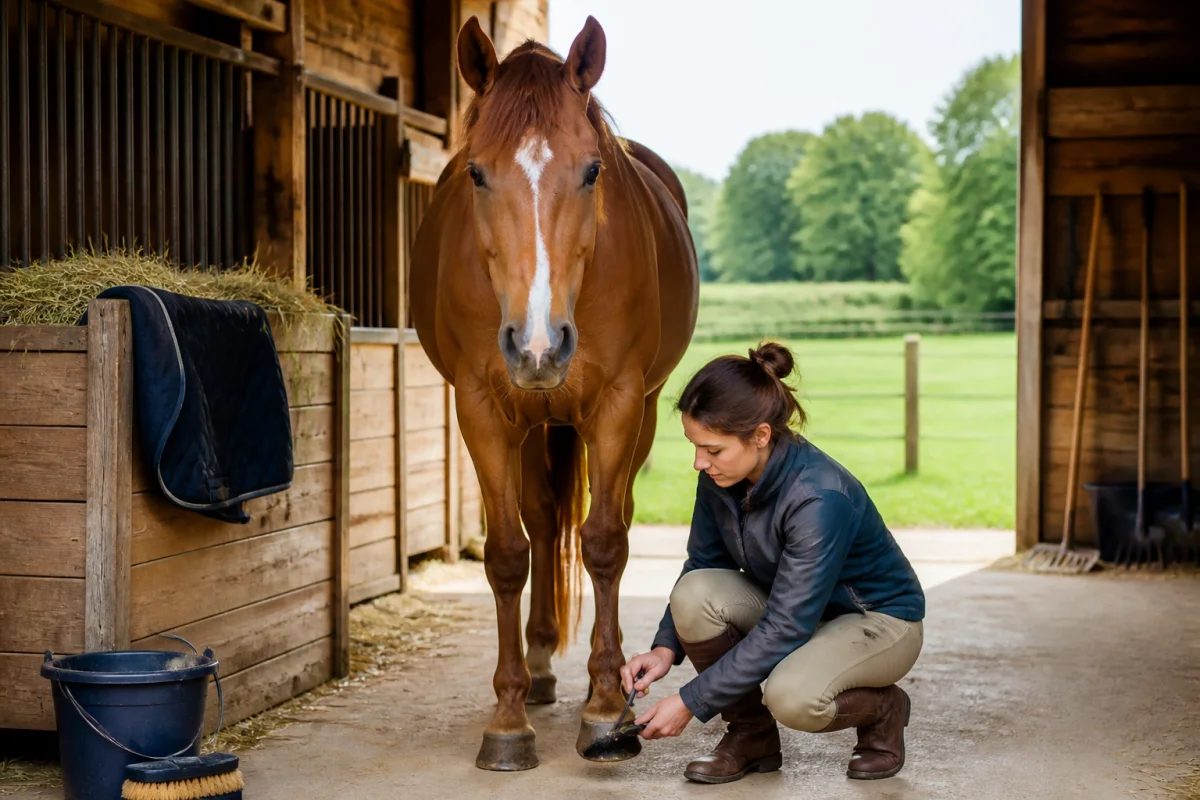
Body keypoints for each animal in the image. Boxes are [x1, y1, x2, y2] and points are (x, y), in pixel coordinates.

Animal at [410, 15, 699, 771]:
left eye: (592, 170)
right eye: (476, 172)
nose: (538, 344)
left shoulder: (620, 402)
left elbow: (604, 543)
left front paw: (604, 705)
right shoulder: (480, 408)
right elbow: (508, 554)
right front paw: (508, 719)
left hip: (635, 412)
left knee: (610, 520)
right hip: (534, 420)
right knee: (541, 524)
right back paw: (538, 668)